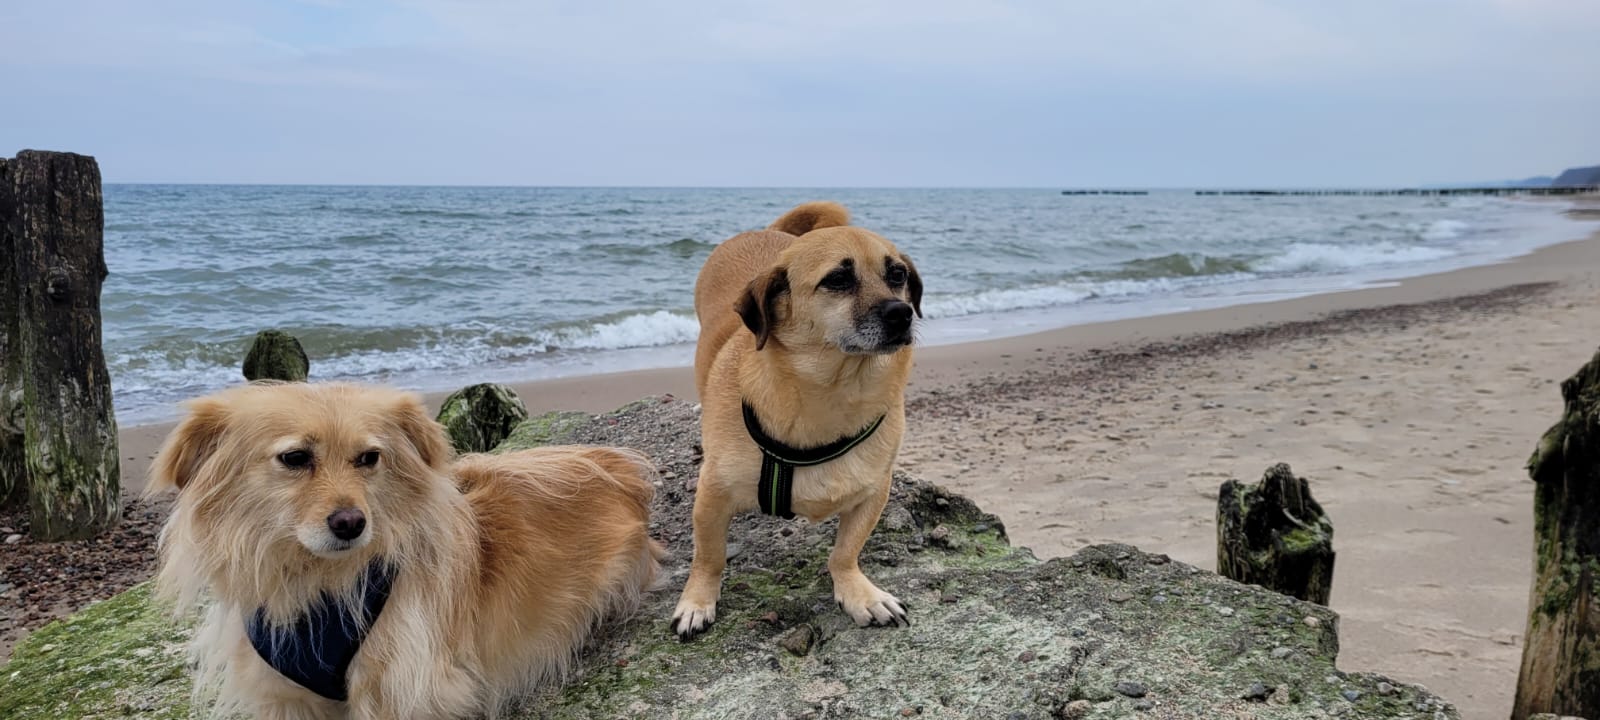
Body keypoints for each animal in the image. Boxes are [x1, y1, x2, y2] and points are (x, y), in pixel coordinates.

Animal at [149, 382, 660, 719]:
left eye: (368, 458)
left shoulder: (401, 687)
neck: (318, 581)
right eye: (295, 458)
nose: (352, 523)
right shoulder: (283, 695)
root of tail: (617, 465)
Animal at [671, 201, 922, 639]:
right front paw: (697, 601)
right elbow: (709, 556)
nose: (902, 313)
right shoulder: (712, 498)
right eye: (838, 279)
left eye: (898, 275)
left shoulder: (874, 492)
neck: (834, 391)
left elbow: (845, 552)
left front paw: (859, 593)